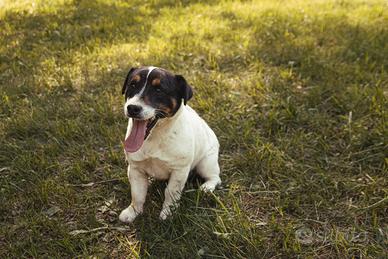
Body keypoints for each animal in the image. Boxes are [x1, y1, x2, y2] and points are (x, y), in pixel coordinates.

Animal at [118, 65, 221, 223]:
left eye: (158, 89)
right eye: (133, 85)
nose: (132, 108)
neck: (155, 137)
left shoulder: (179, 170)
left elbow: (171, 193)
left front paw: (168, 213)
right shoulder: (135, 168)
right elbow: (137, 194)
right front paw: (133, 212)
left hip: (206, 163)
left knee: (215, 177)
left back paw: (207, 187)